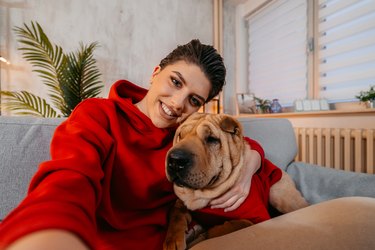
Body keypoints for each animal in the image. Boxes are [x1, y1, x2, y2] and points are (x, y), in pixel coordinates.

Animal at [164, 113, 308, 250]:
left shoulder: (257, 218)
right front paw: (172, 240)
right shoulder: (181, 203)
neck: (200, 196)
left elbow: (235, 224)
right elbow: (176, 212)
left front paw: (205, 234)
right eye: (180, 135)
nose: (175, 160)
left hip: (279, 195)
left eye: (212, 139)